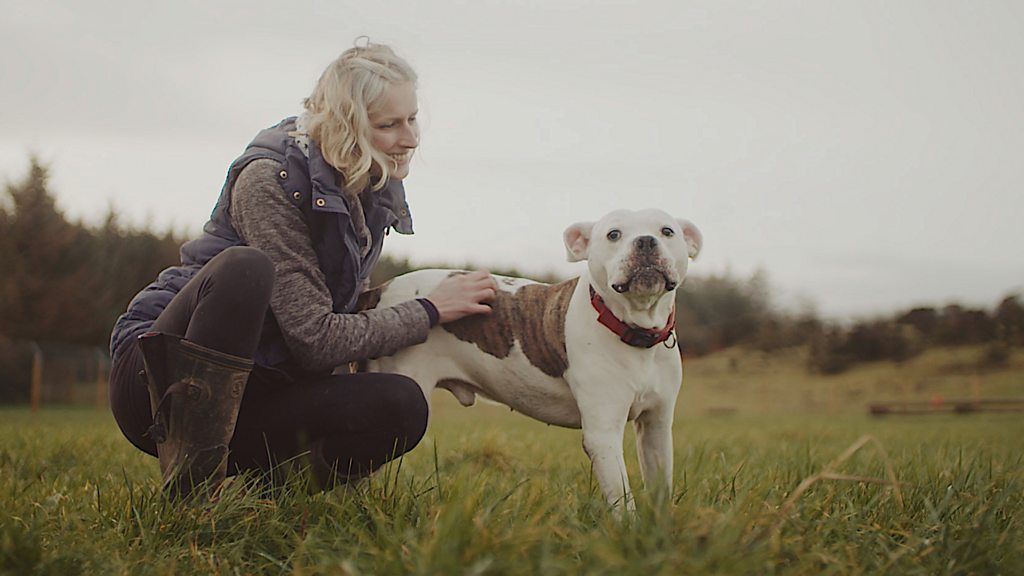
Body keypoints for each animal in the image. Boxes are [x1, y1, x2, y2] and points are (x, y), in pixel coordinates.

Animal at [360, 208, 704, 508]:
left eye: (667, 231)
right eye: (613, 234)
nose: (646, 241)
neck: (635, 330)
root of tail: (380, 291)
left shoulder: (656, 426)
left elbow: (660, 489)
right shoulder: (603, 434)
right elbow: (622, 500)